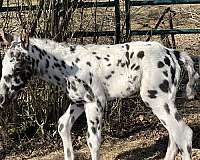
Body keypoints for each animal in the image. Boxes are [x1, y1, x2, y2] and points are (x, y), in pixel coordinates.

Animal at [0, 30, 198, 160]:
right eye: (3, 64)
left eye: (17, 65)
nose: (2, 98)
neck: (67, 67)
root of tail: (172, 53)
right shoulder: (78, 102)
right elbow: (63, 125)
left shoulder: (95, 102)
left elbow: (93, 140)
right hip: (166, 100)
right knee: (174, 135)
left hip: (155, 98)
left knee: (184, 134)